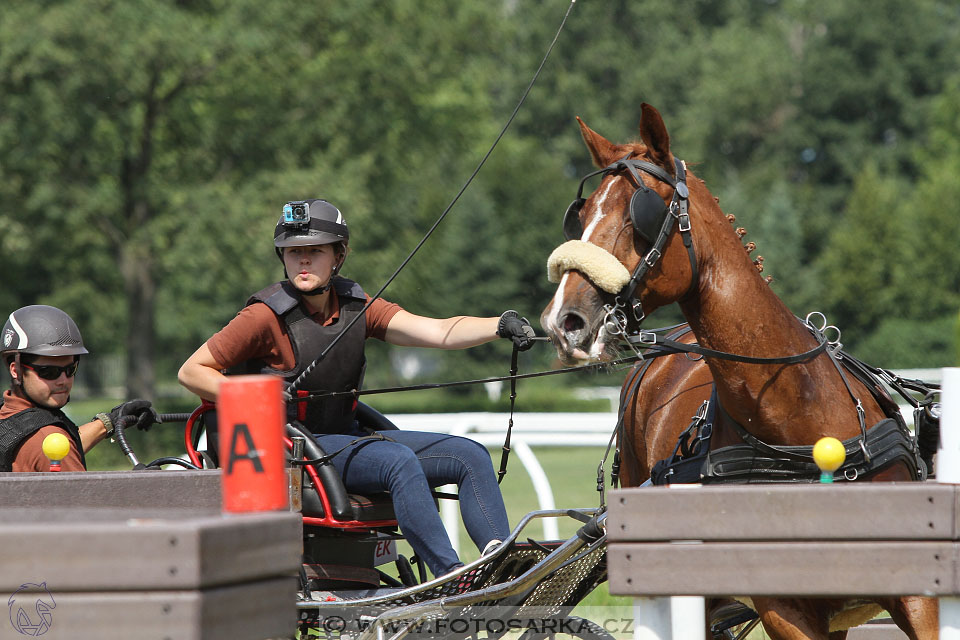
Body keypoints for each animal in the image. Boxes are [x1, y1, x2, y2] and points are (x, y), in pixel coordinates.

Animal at [540, 105, 936, 640]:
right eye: (579, 218)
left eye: (640, 212)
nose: (564, 321)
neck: (801, 421)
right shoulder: (784, 608)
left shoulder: (915, 597)